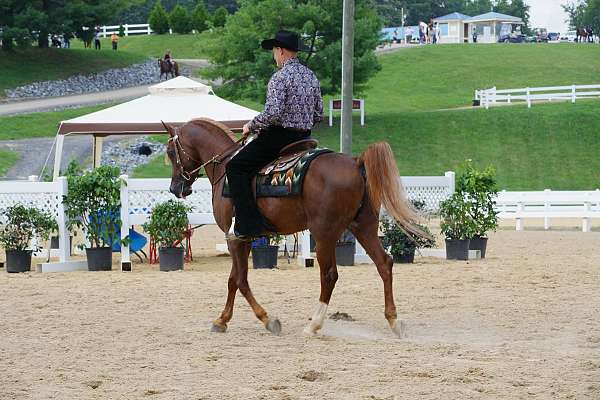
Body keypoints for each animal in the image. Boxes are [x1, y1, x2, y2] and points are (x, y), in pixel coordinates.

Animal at [164, 118, 426, 338]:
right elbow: (233, 280)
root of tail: (356, 162)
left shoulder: (235, 238)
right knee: (384, 263)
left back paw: (314, 324)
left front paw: (267, 320)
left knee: (329, 274)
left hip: (325, 233)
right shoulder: (243, 238)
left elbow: (240, 280)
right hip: (364, 227)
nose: (175, 188)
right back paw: (394, 321)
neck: (225, 167)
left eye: (170, 152)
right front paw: (222, 320)